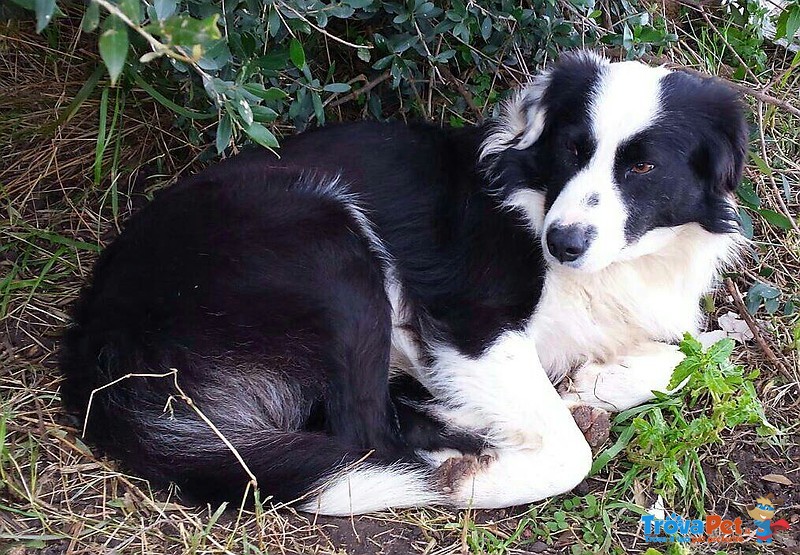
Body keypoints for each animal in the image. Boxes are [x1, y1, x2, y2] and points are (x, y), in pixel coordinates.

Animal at [59, 52, 748, 516]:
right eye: (571, 151)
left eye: (644, 167)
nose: (562, 242)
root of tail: (97, 347)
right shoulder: (475, 322)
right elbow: (572, 451)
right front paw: (482, 476)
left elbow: (714, 351)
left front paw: (602, 380)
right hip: (330, 249)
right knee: (363, 435)